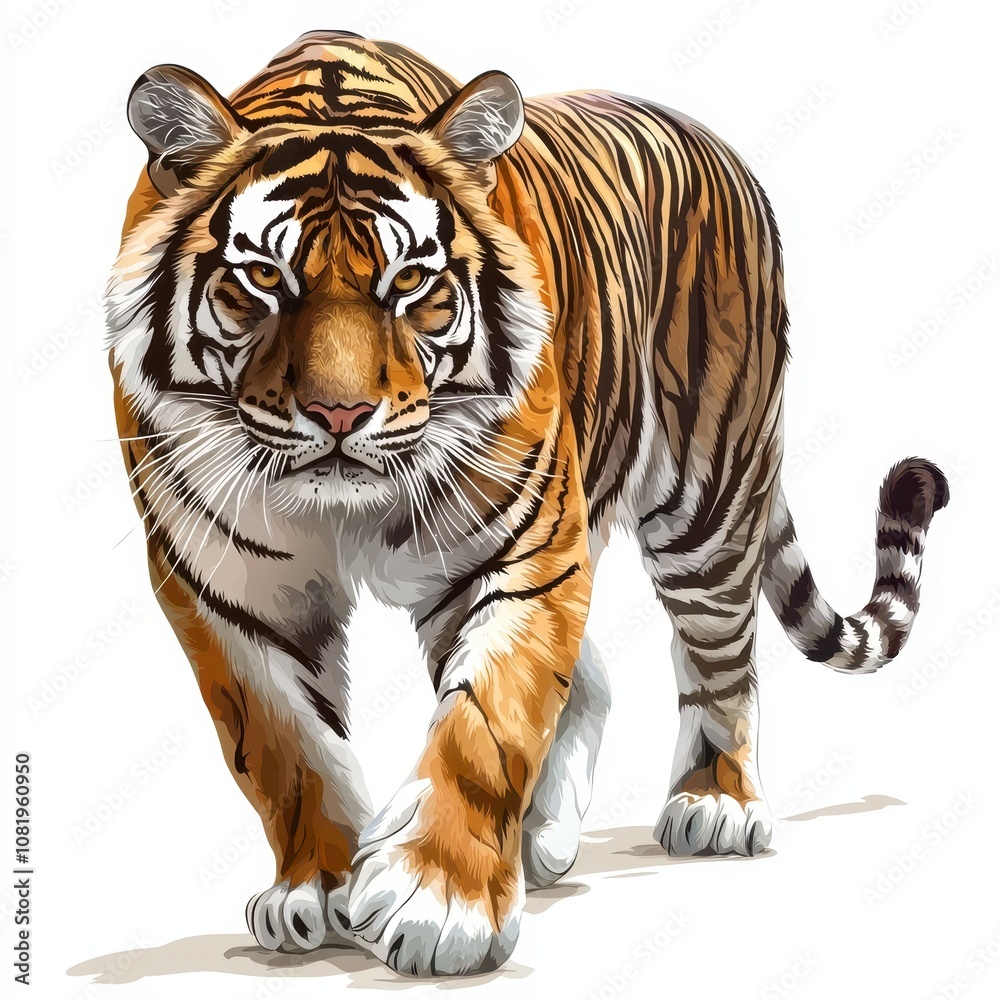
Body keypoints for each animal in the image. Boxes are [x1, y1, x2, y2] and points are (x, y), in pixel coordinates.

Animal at [106, 30, 949, 977]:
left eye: (410, 282)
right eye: (260, 278)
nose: (340, 414)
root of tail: (715, 146)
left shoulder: (525, 548)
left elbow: (487, 724)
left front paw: (439, 905)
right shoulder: (226, 582)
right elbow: (286, 748)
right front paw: (319, 889)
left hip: (706, 496)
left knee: (720, 657)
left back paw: (717, 805)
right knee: (596, 678)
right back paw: (542, 843)